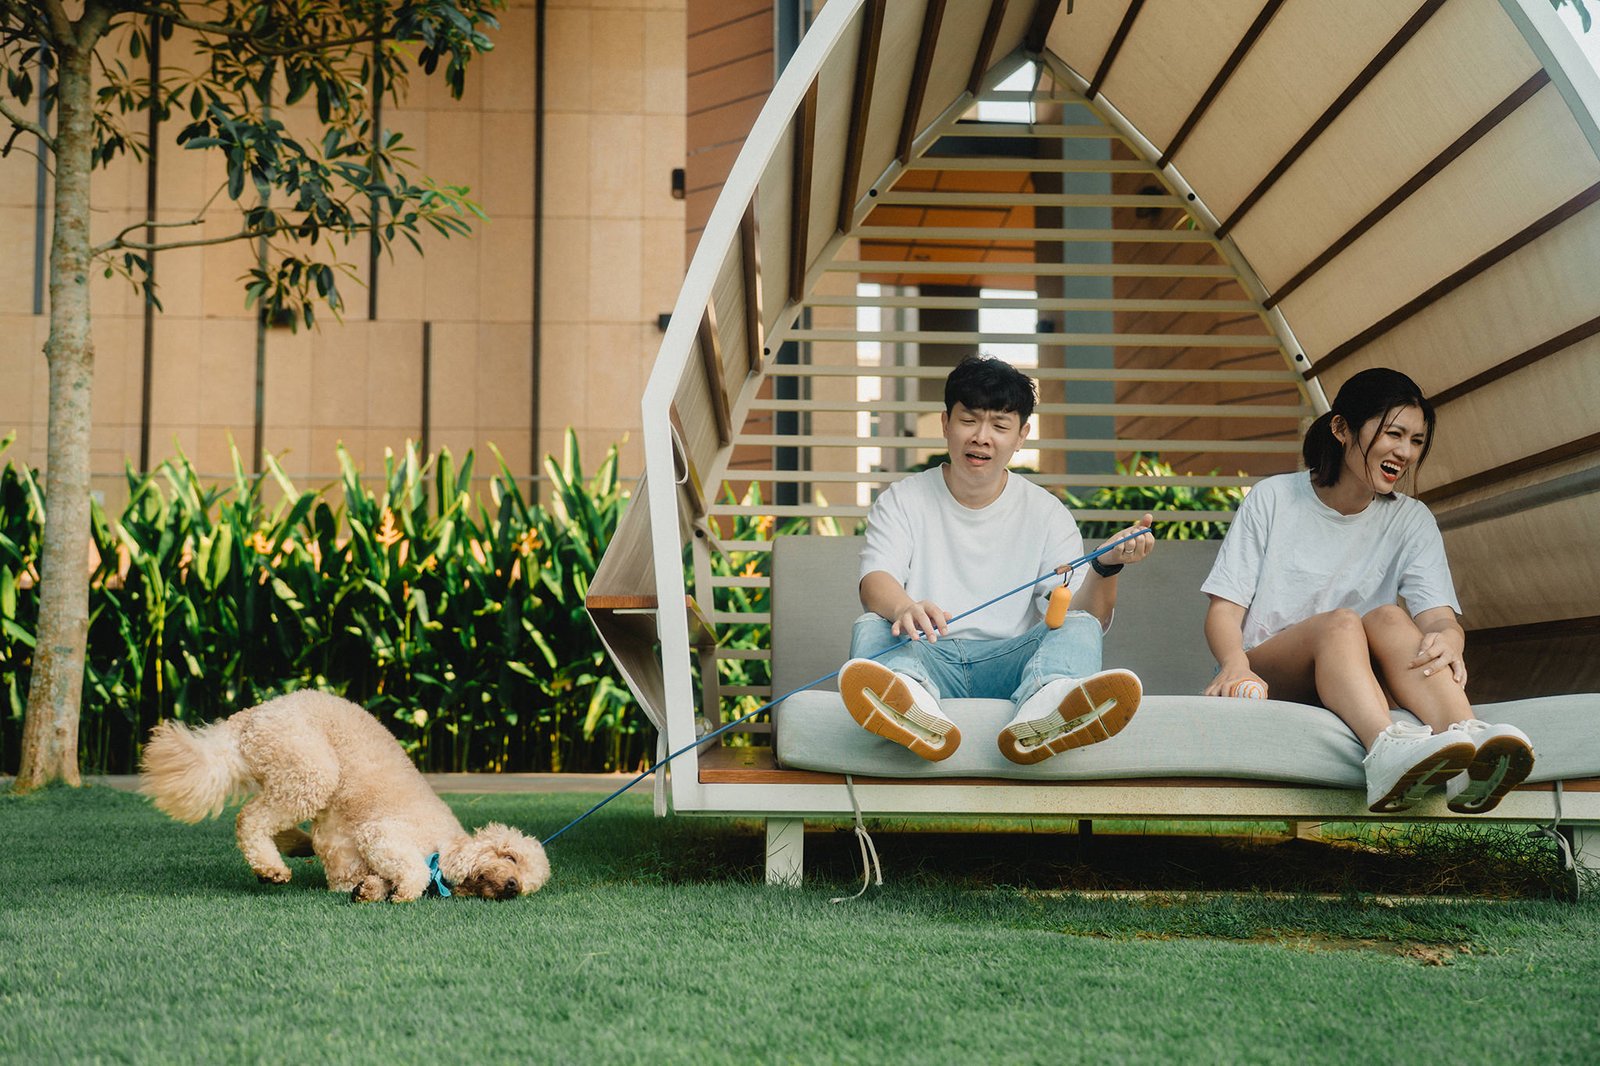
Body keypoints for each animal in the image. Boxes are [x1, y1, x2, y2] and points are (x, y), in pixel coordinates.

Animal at [140, 691, 550, 902]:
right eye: (510, 857)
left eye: (528, 884)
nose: (512, 887)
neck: (445, 847)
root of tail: (253, 714)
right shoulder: (383, 834)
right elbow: (412, 871)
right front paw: (404, 891)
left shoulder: (350, 865)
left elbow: (366, 879)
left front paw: (371, 890)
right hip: (311, 771)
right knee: (250, 819)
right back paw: (272, 867)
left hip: (288, 774)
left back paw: (292, 846)